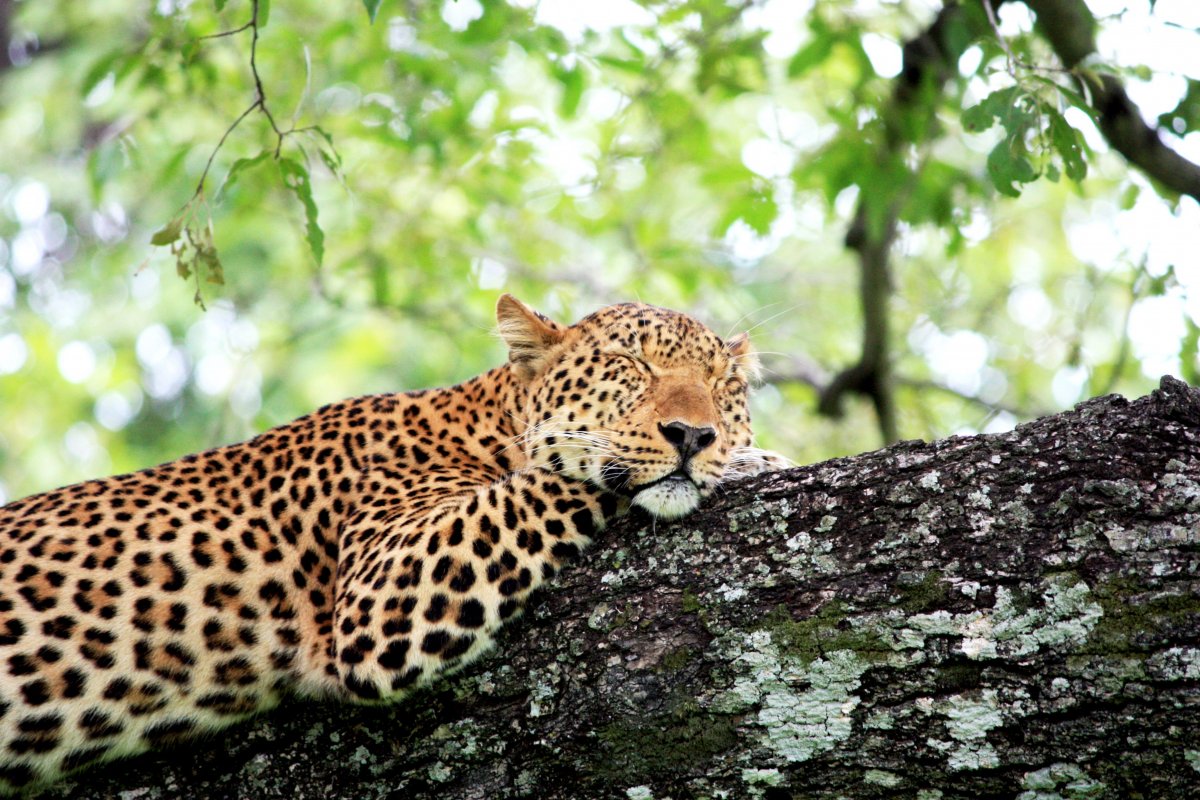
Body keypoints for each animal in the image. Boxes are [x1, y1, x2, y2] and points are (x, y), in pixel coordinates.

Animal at [0, 296, 796, 796]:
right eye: (634, 366)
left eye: (723, 385)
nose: (694, 436)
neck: (481, 420)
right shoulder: (386, 590)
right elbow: (552, 474)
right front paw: (750, 461)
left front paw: (745, 456)